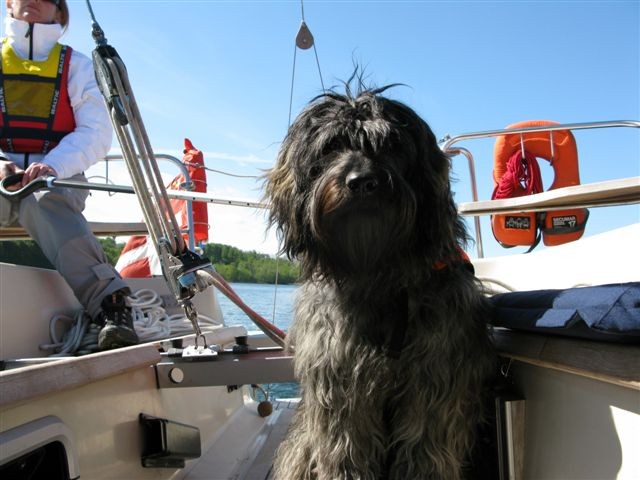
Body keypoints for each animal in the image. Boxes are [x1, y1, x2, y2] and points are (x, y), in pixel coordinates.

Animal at [264, 84, 496, 478]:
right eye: (331, 147)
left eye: (391, 146)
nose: (361, 182)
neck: (379, 273)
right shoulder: (341, 384)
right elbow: (345, 448)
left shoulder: (434, 379)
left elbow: (424, 447)